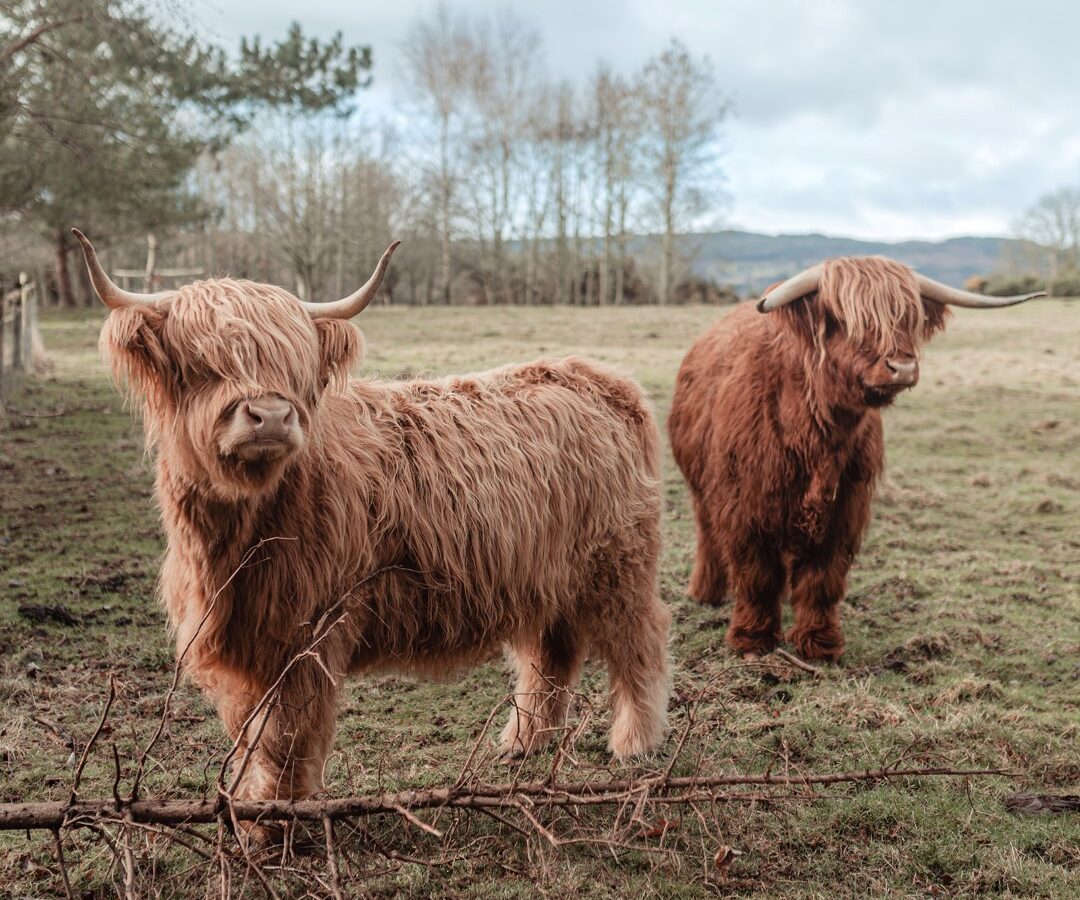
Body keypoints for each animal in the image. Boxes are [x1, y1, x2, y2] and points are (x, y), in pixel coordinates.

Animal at [69, 226, 665, 812]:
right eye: (201, 362)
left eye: (295, 366)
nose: (272, 416)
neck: (238, 535)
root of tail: (602, 378)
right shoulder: (247, 638)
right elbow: (250, 727)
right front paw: (248, 800)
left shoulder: (308, 631)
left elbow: (286, 729)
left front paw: (276, 811)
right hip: (543, 575)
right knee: (551, 652)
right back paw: (525, 742)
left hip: (619, 565)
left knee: (639, 642)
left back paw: (633, 742)